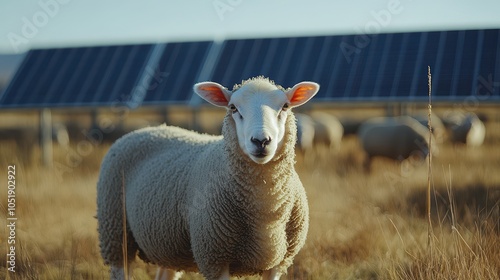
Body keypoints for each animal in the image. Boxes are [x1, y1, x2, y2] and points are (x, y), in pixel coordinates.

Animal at [95, 76, 318, 280]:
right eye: (233, 107)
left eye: (285, 106)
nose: (261, 141)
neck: (266, 213)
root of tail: (148, 129)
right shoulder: (214, 258)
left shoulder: (278, 263)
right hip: (115, 233)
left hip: (167, 245)